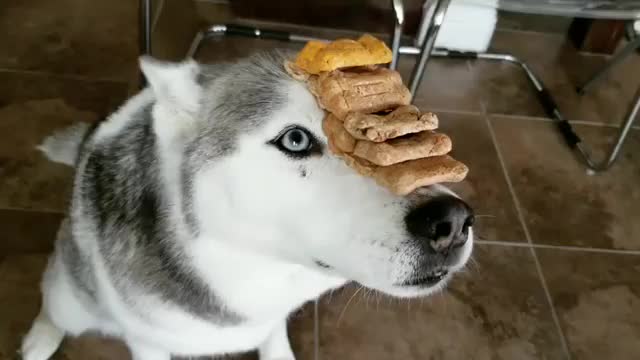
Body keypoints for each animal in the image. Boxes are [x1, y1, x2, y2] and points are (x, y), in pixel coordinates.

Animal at [22, 51, 472, 360]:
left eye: (401, 129)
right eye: (295, 140)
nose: (451, 222)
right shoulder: (145, 340)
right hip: (70, 296)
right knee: (53, 301)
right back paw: (39, 339)